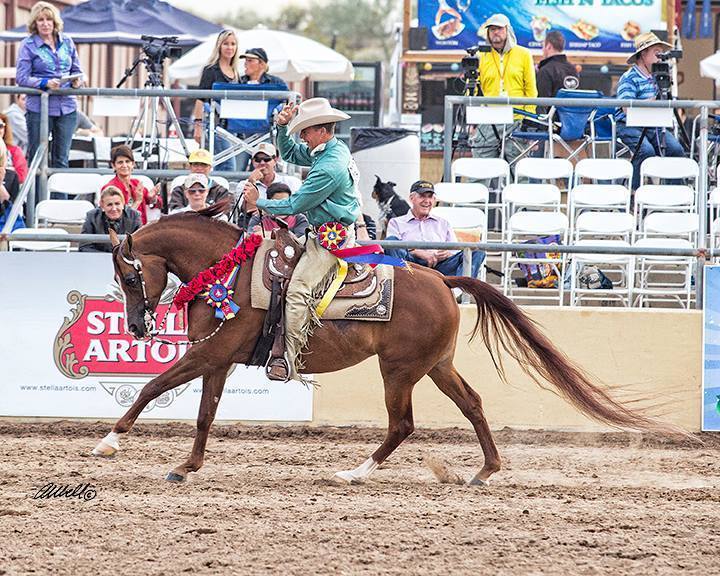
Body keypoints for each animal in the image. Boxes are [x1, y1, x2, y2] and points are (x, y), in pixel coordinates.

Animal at [93, 202, 676, 485]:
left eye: (128, 275)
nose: (139, 328)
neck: (228, 272)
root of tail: (441, 278)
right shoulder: (218, 359)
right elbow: (204, 415)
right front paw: (186, 467)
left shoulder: (208, 354)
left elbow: (150, 388)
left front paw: (108, 442)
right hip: (437, 366)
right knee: (473, 404)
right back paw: (484, 471)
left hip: (398, 370)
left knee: (403, 424)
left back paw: (355, 472)